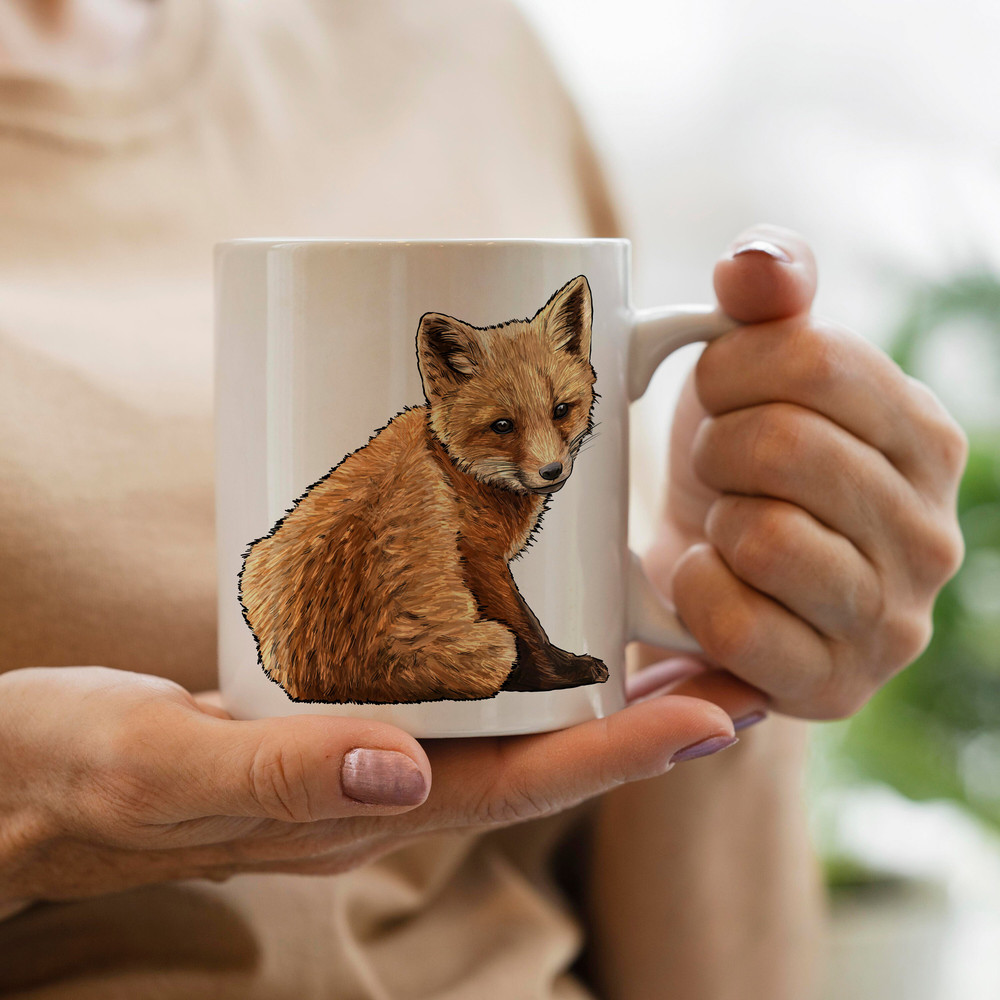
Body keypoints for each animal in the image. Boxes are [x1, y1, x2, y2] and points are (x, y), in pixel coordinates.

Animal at [239, 274, 609, 703]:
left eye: (561, 410)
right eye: (502, 425)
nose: (552, 470)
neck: (456, 467)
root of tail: (315, 683)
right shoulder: (479, 557)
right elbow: (529, 629)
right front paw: (565, 671)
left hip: (255, 565)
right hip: (489, 644)